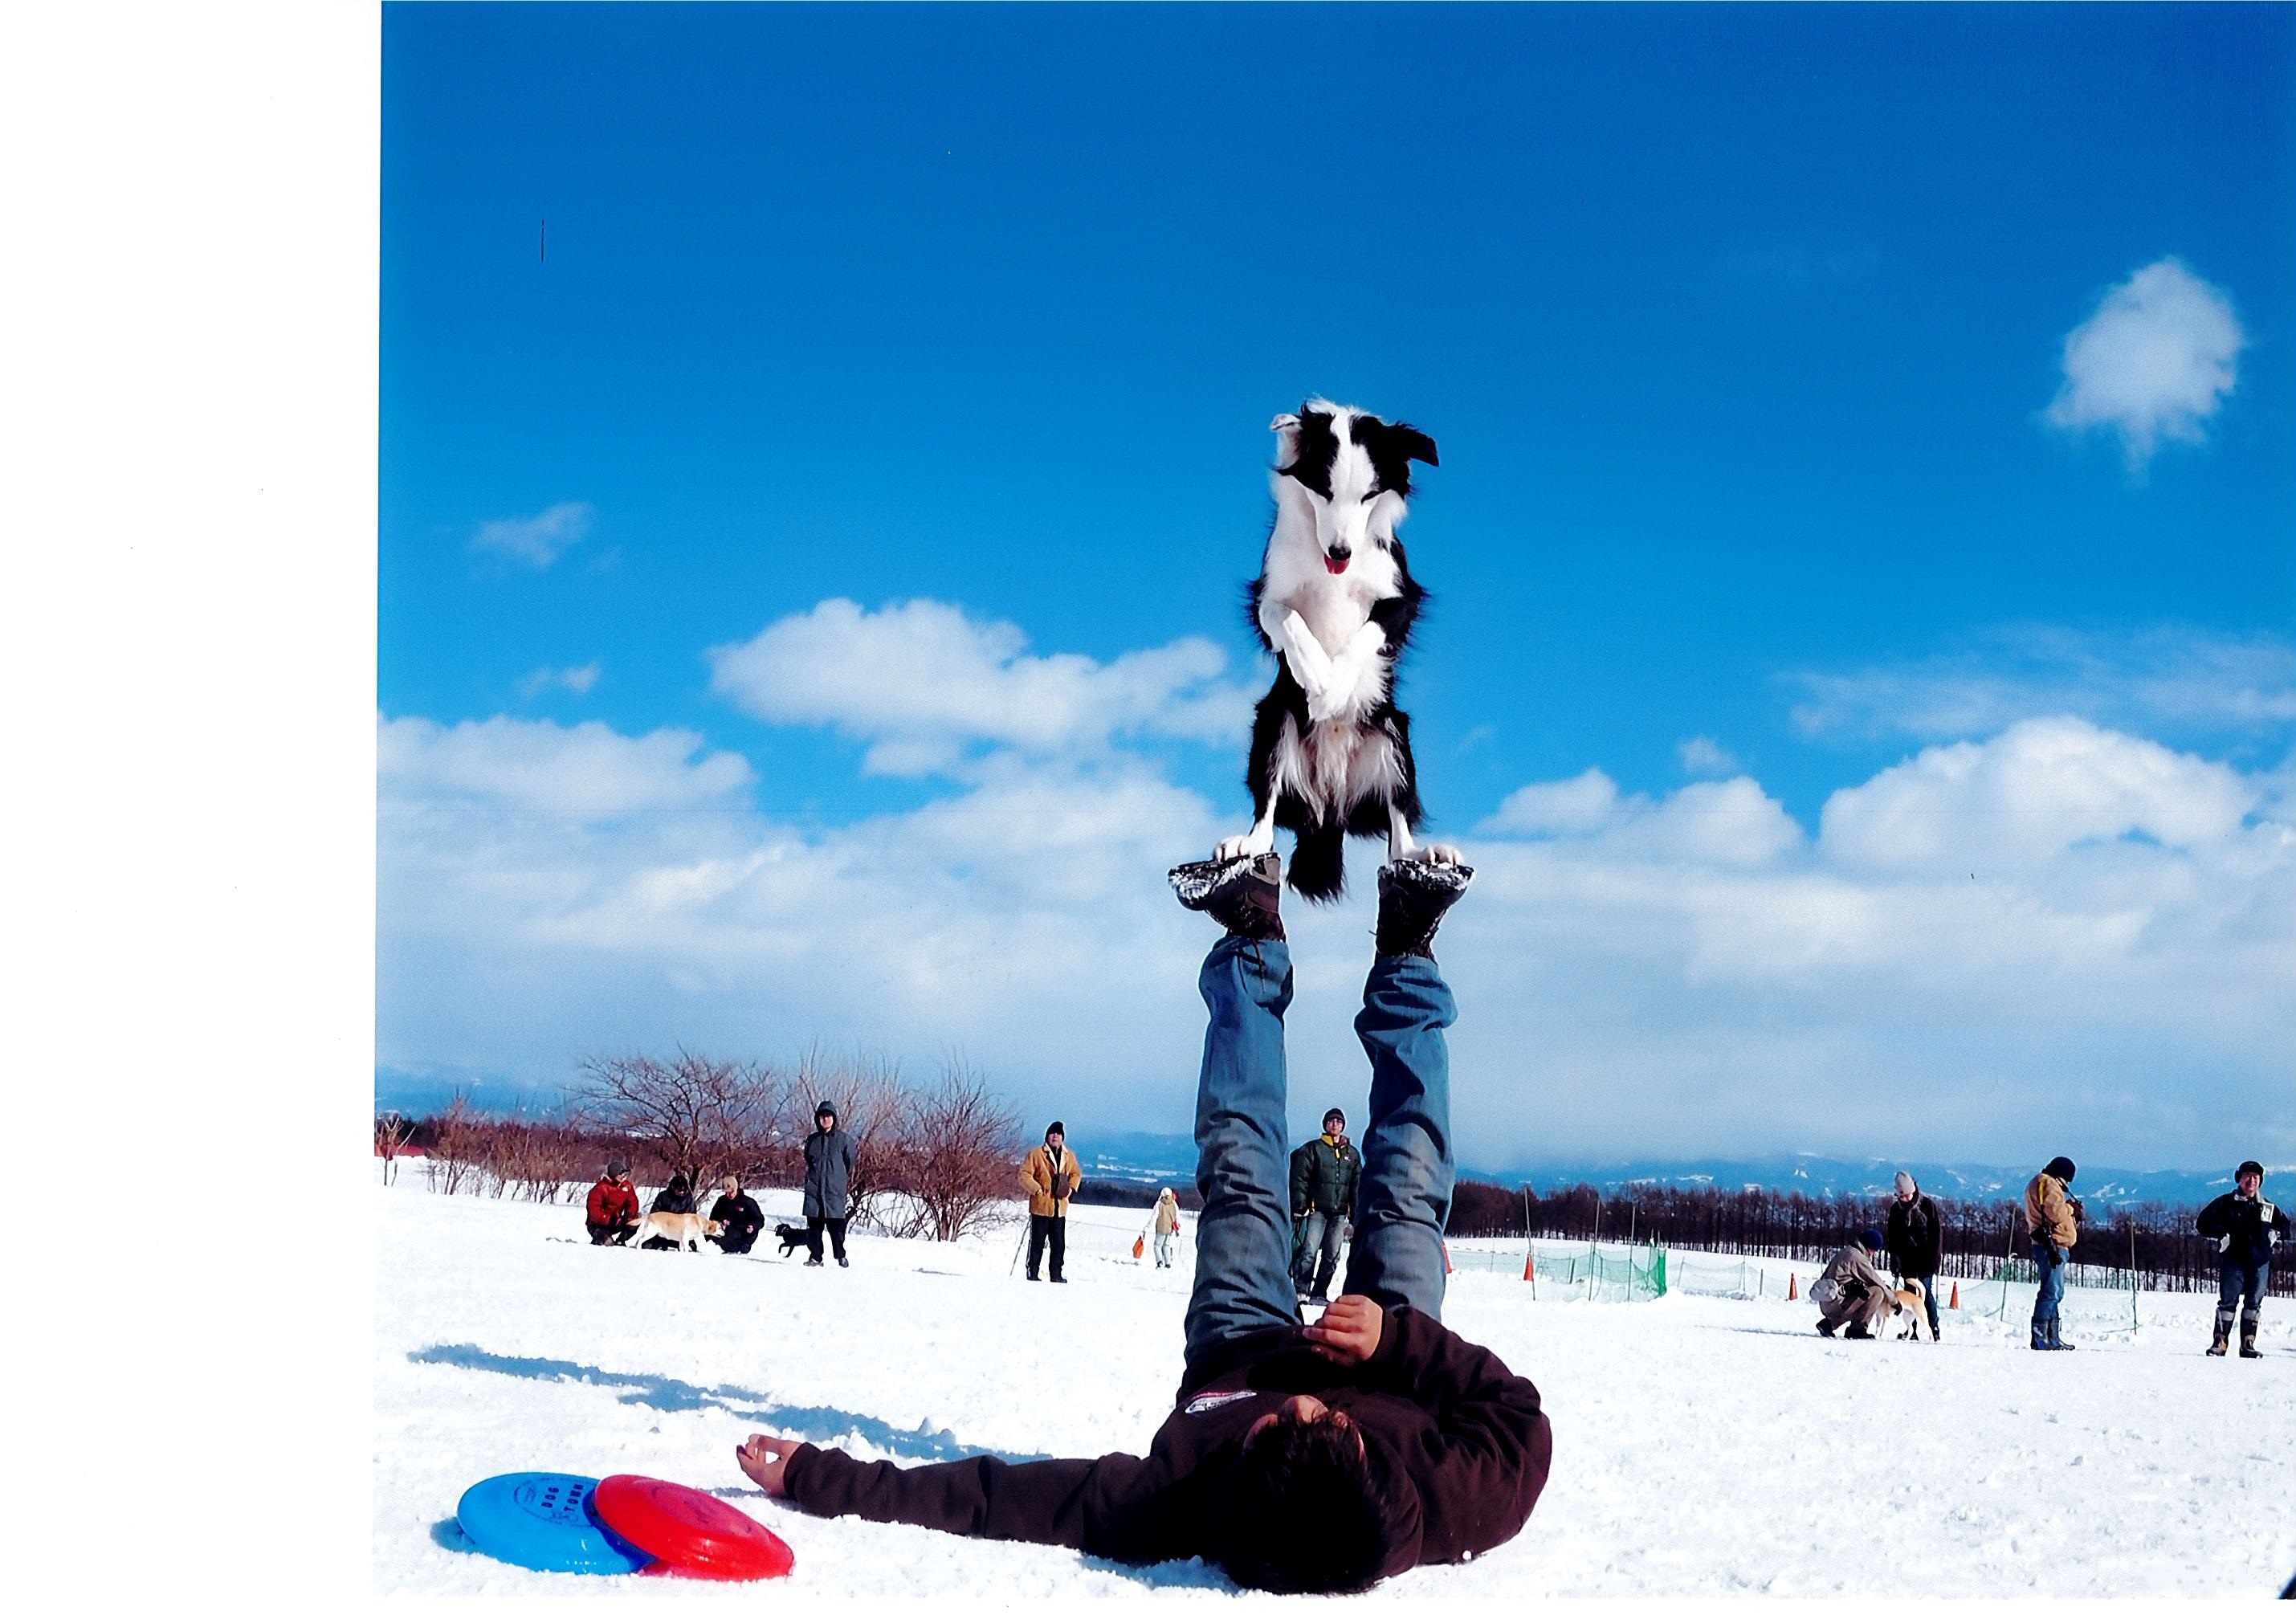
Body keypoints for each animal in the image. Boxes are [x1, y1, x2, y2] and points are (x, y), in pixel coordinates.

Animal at [1212, 394, 1460, 895]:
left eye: (1368, 496)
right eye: (1323, 491)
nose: (1342, 552)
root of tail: (1330, 806)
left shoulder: (1401, 598)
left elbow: (1366, 634)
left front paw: (1334, 688)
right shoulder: (1266, 599)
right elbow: (1288, 620)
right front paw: (1316, 676)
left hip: (1394, 733)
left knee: (1398, 829)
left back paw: (1428, 851)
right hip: (1274, 722)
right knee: (1267, 811)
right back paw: (1244, 843)